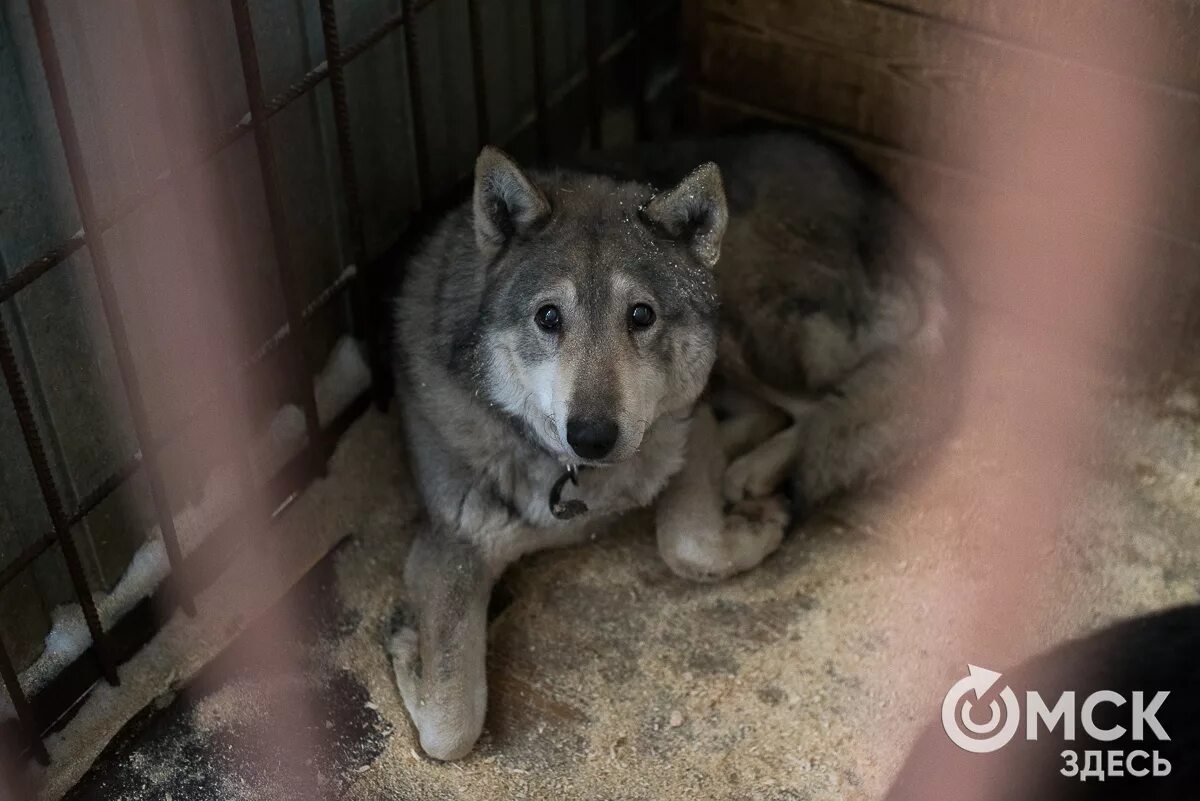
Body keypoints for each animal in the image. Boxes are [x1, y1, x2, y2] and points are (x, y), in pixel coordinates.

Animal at [388, 130, 950, 757]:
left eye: (641, 315)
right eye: (548, 317)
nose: (592, 436)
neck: (579, 482)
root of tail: (889, 201)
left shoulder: (687, 430)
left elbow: (690, 547)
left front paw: (759, 527)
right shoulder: (452, 546)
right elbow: (449, 729)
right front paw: (409, 653)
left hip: (745, 319)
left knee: (829, 405)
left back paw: (755, 472)